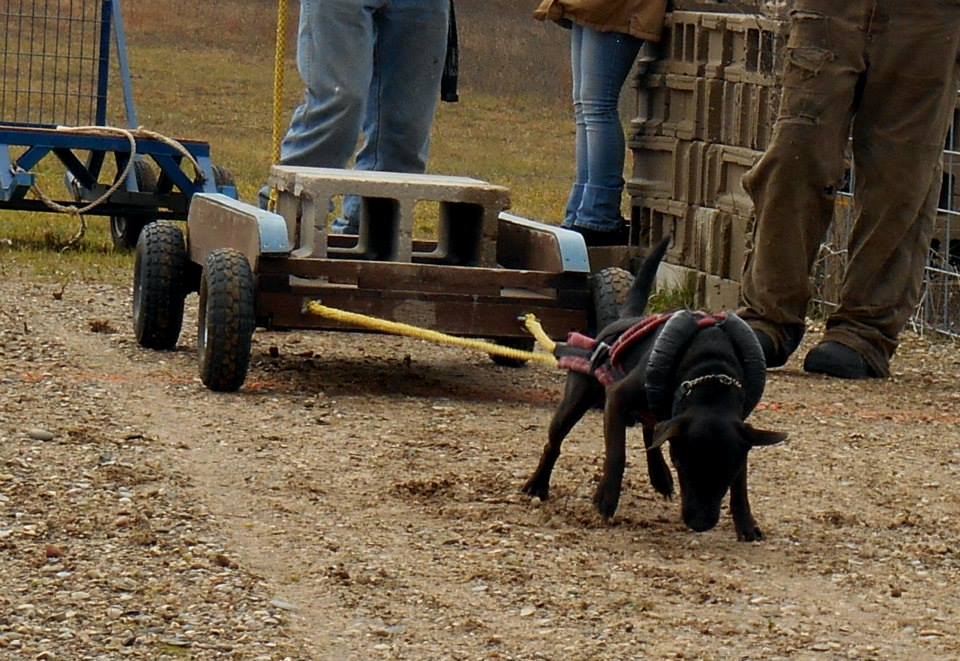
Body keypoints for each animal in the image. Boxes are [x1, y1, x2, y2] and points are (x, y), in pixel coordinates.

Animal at [524, 240, 788, 540]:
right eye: (682, 464)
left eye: (726, 473)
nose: (700, 523)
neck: (710, 380)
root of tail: (625, 319)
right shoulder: (617, 399)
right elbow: (617, 453)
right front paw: (606, 498)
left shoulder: (741, 431)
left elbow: (740, 484)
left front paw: (745, 523)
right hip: (576, 400)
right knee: (554, 442)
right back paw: (537, 484)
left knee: (653, 430)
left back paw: (659, 476)